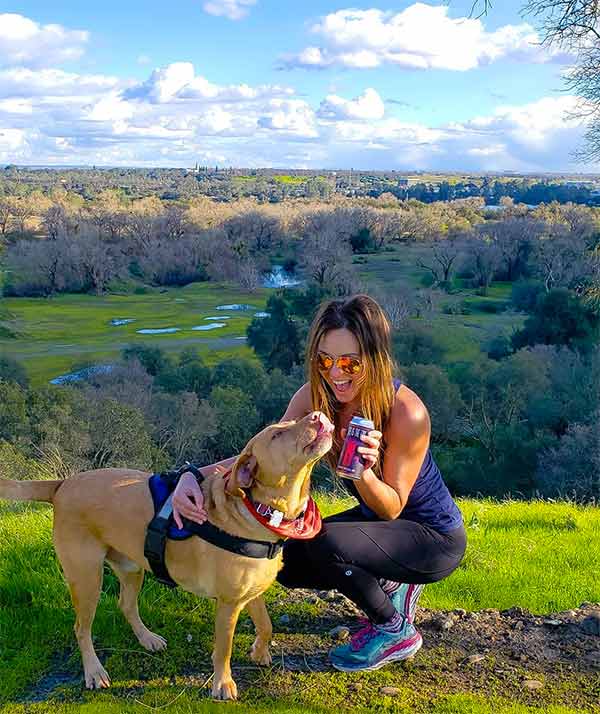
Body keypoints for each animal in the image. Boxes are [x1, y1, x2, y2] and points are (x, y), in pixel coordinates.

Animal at [0, 408, 332, 700]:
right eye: (277, 434)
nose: (318, 415)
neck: (261, 511)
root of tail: (62, 484)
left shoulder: (252, 593)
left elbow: (266, 624)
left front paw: (259, 651)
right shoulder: (228, 604)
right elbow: (223, 650)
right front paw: (222, 684)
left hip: (131, 568)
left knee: (125, 605)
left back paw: (147, 638)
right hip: (87, 578)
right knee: (81, 628)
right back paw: (94, 671)